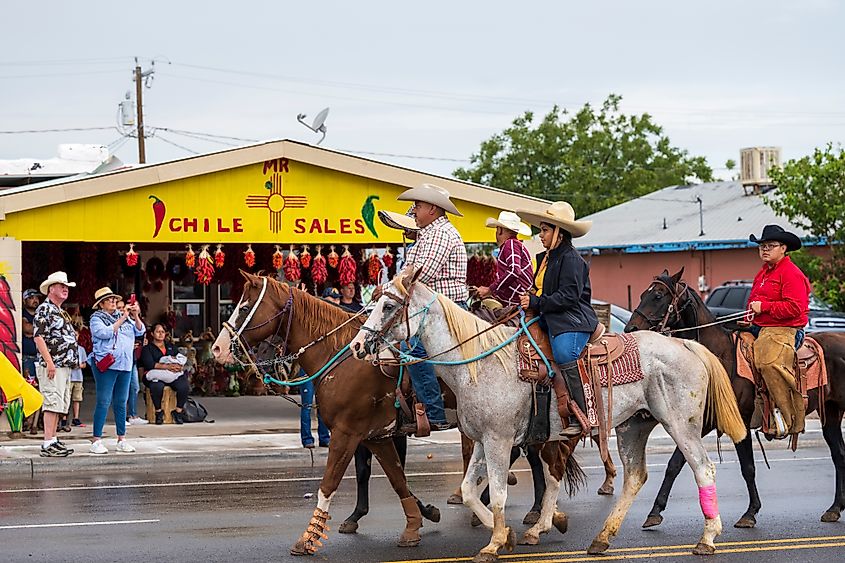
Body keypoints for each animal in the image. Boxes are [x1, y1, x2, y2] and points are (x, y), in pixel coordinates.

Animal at [211, 274, 438, 556]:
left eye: (243, 308)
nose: (217, 349)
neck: (343, 355)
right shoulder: (376, 437)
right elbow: (397, 479)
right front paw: (415, 523)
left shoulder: (347, 434)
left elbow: (329, 484)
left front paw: (308, 539)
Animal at [624, 266, 844, 528]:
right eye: (641, 295)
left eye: (658, 296)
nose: (630, 330)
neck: (719, 359)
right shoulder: (705, 422)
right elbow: (675, 463)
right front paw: (655, 512)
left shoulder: (740, 422)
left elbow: (747, 467)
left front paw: (750, 513)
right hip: (831, 411)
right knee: (839, 454)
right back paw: (834, 508)